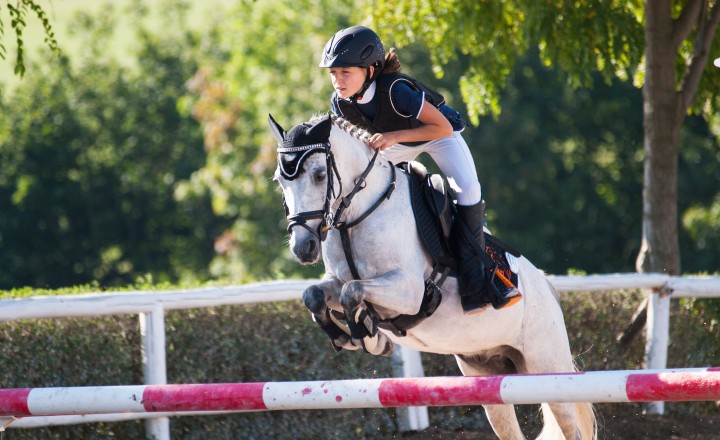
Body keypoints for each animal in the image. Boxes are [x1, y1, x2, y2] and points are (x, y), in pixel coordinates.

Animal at [270, 114, 596, 440]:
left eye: (319, 175)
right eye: (280, 181)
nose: (303, 247)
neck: (358, 214)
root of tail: (547, 286)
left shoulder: (408, 291)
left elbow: (353, 291)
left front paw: (368, 337)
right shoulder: (337, 283)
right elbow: (315, 294)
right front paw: (353, 337)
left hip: (546, 364)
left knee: (571, 427)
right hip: (489, 375)